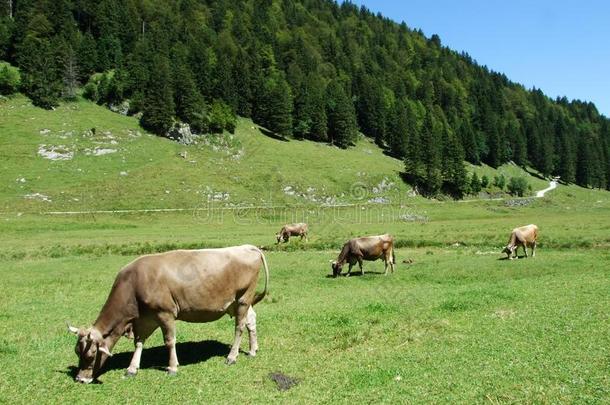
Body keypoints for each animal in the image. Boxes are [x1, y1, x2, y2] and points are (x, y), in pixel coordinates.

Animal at [67, 243, 268, 382]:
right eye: (76, 351)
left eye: (91, 355)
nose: (80, 379)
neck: (134, 283)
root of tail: (248, 247)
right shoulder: (145, 319)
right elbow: (139, 343)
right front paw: (132, 368)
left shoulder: (165, 313)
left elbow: (169, 341)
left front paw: (172, 367)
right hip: (236, 303)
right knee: (251, 321)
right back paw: (252, 350)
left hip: (243, 298)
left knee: (239, 327)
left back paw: (232, 357)